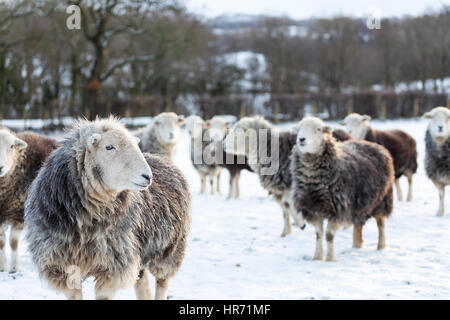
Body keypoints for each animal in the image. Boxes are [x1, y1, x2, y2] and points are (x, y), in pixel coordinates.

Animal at [0, 129, 58, 274]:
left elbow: (13, 242)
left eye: (11, 146)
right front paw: (2, 267)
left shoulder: (19, 212)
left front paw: (14, 268)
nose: (0, 167)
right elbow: (2, 241)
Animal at [24, 117, 192, 300]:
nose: (147, 176)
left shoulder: (113, 268)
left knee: (162, 282)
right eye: (109, 147)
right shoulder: (61, 266)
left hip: (170, 249)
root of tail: (160, 159)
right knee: (142, 282)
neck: (84, 227)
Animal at [290, 116, 392, 262]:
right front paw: (317, 257)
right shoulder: (313, 208)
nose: (301, 139)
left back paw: (381, 247)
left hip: (382, 200)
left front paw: (330, 258)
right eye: (298, 129)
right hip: (359, 204)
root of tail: (372, 144)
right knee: (358, 225)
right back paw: (356, 246)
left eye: (318, 129)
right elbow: (318, 234)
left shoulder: (338, 209)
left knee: (381, 224)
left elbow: (329, 235)